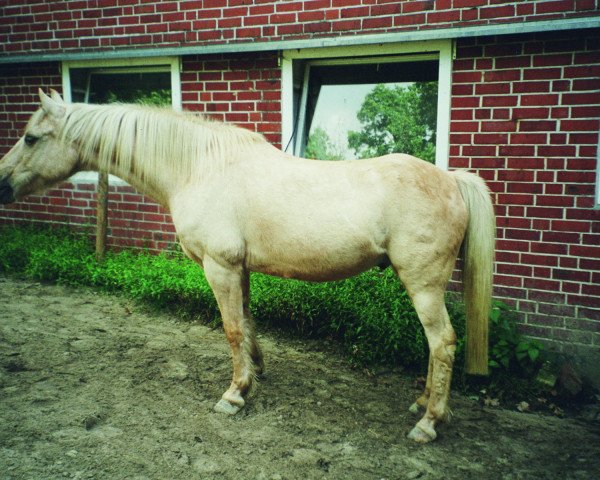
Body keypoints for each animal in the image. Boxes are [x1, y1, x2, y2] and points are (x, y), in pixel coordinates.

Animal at [0, 90, 496, 442]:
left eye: (30, 137)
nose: (1, 184)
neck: (198, 167)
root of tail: (451, 178)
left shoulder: (218, 266)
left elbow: (232, 328)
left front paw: (235, 394)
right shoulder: (239, 268)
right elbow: (248, 323)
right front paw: (255, 374)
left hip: (423, 285)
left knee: (443, 343)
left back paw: (429, 422)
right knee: (436, 347)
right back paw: (421, 403)